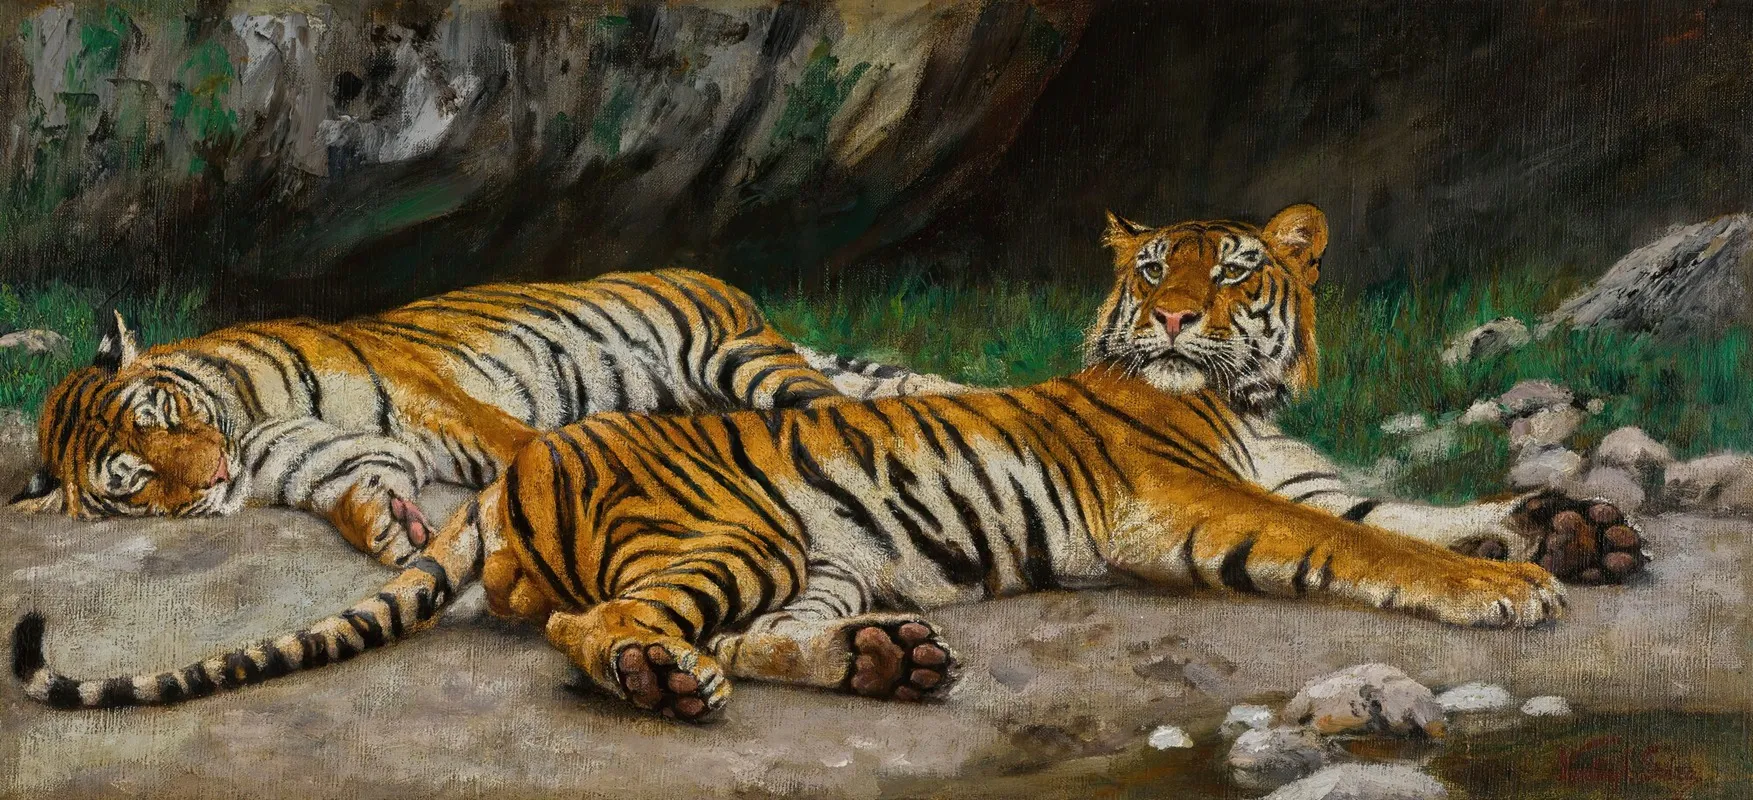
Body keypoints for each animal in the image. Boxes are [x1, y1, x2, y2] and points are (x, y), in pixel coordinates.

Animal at [7, 269, 849, 567]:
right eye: (139, 480)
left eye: (164, 414)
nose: (213, 475)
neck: (250, 426)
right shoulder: (315, 458)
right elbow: (353, 489)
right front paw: (389, 526)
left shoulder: (436, 399)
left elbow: (528, 445)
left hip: (736, 357)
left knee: (834, 406)